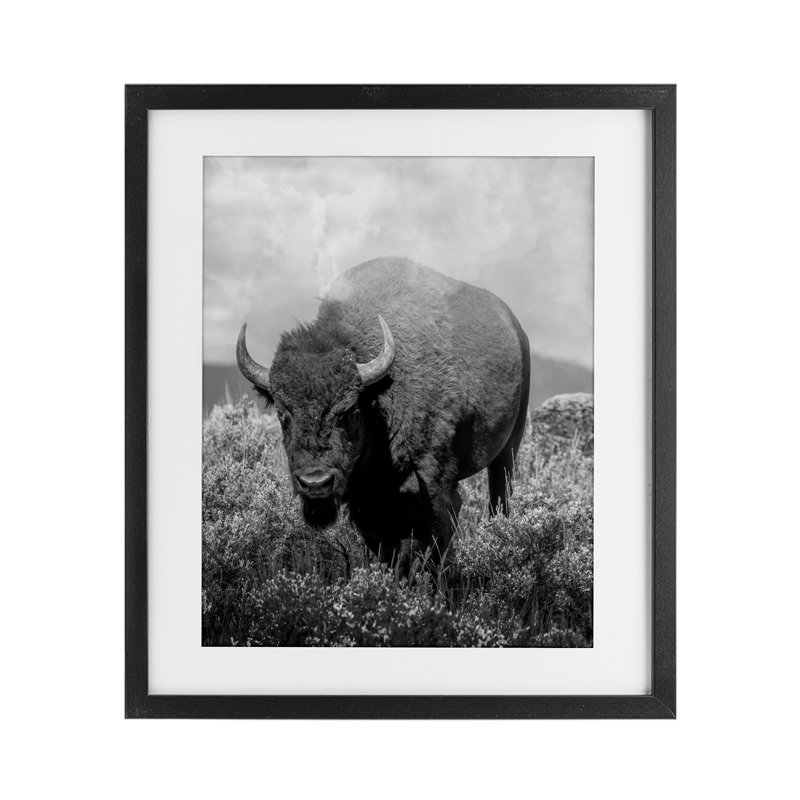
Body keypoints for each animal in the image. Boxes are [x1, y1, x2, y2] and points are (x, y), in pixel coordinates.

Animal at [237, 257, 530, 575]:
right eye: (281, 411)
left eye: (349, 408)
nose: (315, 483)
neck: (378, 396)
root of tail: (517, 329)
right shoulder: (367, 500)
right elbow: (384, 545)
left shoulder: (434, 490)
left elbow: (424, 544)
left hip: (509, 449)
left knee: (499, 496)